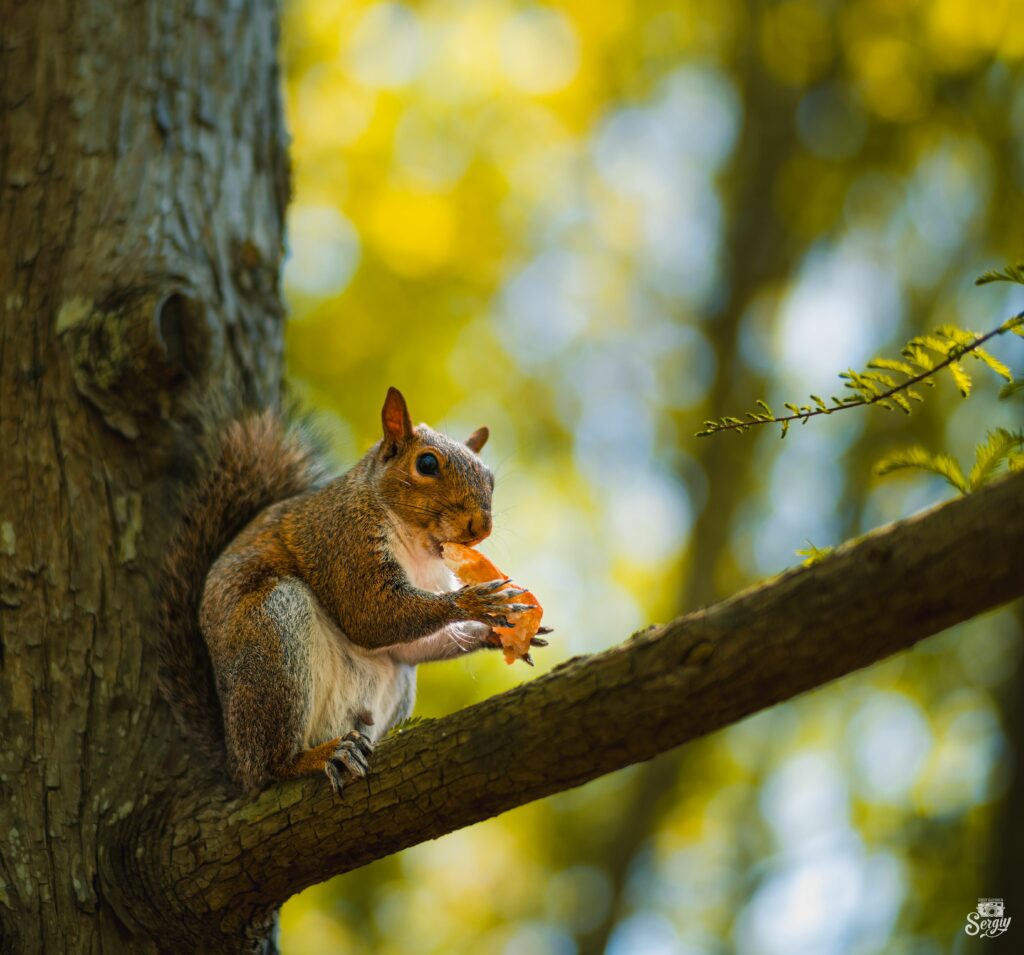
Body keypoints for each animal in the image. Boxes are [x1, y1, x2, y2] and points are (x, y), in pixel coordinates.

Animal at [159, 387, 544, 793]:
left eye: (489, 478)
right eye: (426, 463)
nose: (480, 526)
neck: (419, 549)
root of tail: (235, 762)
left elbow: (410, 644)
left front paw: (496, 632)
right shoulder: (344, 542)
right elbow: (369, 617)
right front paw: (475, 601)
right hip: (272, 638)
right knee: (269, 765)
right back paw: (314, 756)